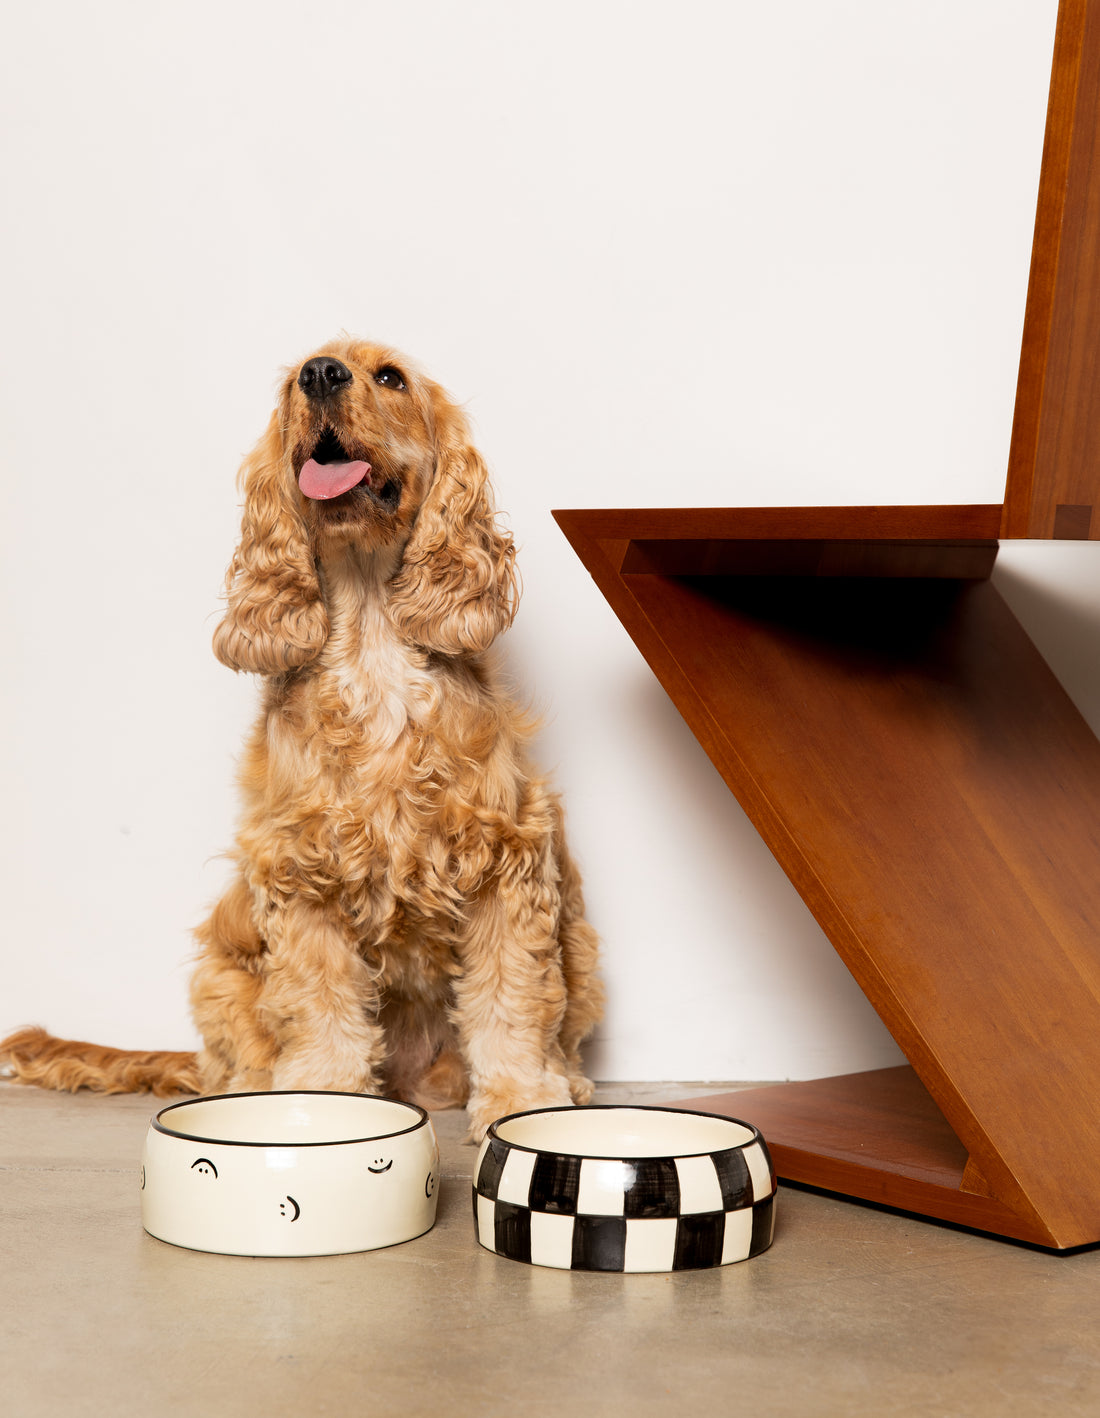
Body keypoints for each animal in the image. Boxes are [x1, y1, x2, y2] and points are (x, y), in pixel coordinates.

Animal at [2, 337, 601, 1134]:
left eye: (390, 378)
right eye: (295, 381)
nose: (322, 374)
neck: (374, 636)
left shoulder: (506, 859)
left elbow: (512, 998)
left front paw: (523, 1102)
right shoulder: (300, 873)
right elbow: (321, 1008)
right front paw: (320, 1106)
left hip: (583, 944)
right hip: (221, 974)